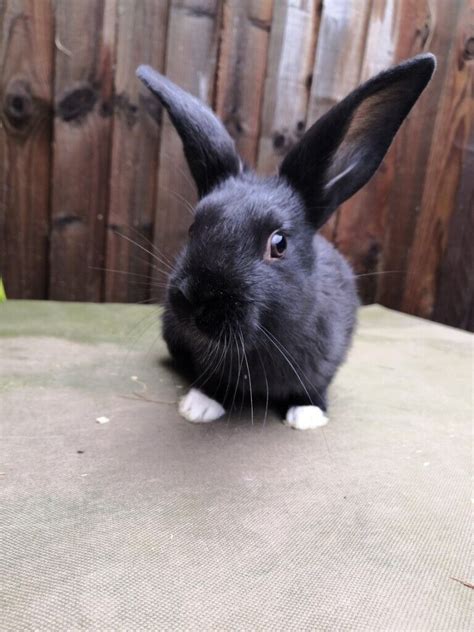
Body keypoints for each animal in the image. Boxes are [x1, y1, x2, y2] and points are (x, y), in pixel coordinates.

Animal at [135, 54, 436, 430]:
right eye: (194, 227)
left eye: (278, 244)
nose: (194, 298)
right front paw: (199, 405)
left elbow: (314, 388)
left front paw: (307, 415)